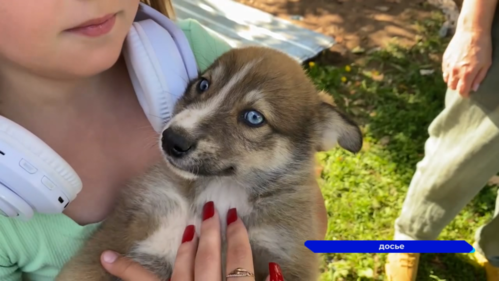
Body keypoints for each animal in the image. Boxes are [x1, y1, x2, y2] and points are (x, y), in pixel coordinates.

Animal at [56, 46, 364, 280]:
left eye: (254, 117)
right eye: (203, 84)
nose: (171, 139)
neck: (222, 190)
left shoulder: (284, 253)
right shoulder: (130, 221)